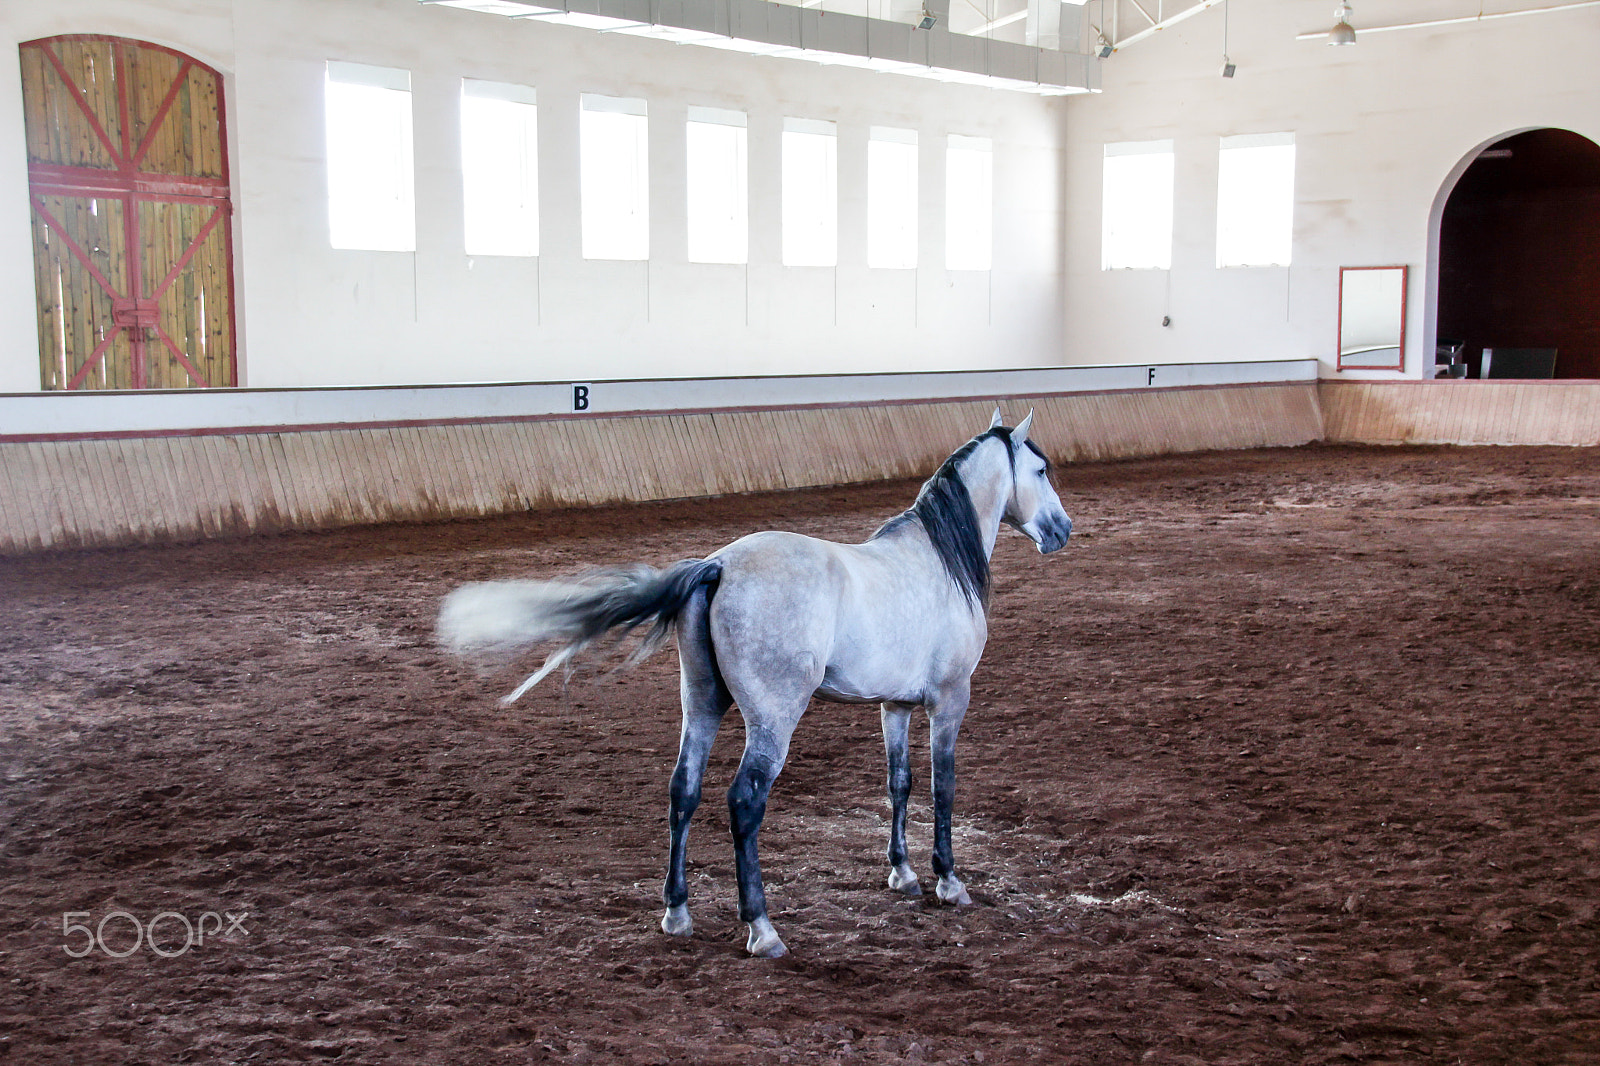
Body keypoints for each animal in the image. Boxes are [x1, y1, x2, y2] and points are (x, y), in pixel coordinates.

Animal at [437, 410, 1072, 957]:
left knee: (683, 791)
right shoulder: (949, 699)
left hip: (702, 704)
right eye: (1040, 471)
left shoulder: (894, 705)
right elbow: (943, 788)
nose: (1063, 529)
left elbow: (900, 784)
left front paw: (903, 873)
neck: (939, 562)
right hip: (772, 719)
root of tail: (718, 565)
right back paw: (761, 929)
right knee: (744, 802)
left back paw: (677, 913)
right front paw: (948, 880)